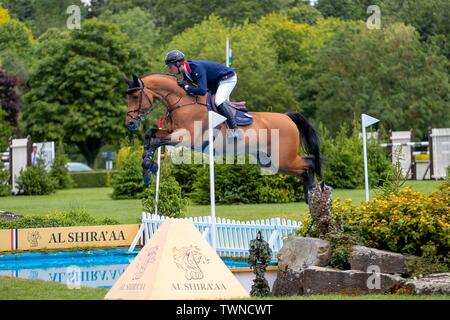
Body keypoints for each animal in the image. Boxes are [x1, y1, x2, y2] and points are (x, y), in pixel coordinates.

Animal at [123, 73, 320, 202]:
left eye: (135, 96)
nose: (130, 123)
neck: (182, 101)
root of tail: (287, 117)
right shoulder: (172, 131)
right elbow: (150, 135)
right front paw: (147, 170)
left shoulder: (188, 138)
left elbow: (156, 141)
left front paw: (149, 166)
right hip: (270, 161)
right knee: (303, 169)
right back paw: (309, 196)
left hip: (282, 158)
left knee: (309, 163)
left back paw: (311, 194)